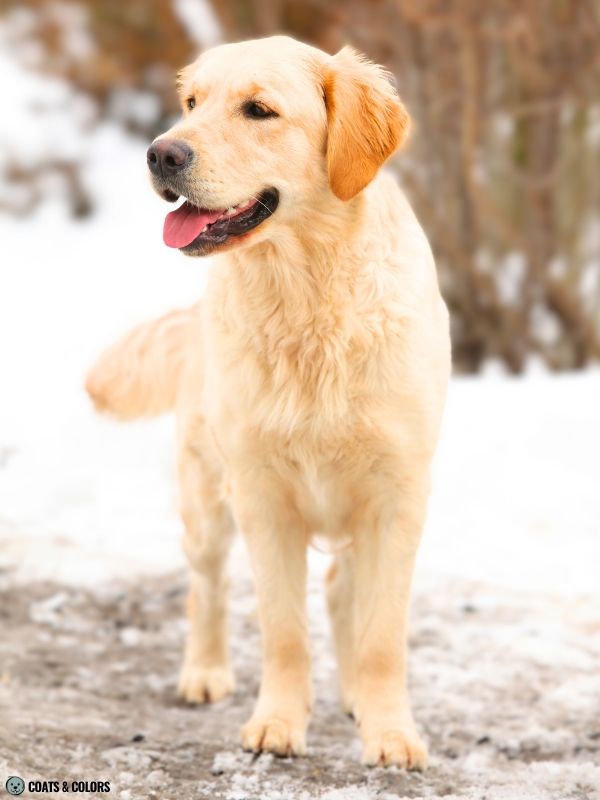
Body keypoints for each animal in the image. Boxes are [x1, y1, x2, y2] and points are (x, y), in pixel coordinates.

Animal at [85, 36, 450, 768]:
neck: (306, 297)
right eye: (191, 102)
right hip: (206, 497)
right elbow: (284, 630)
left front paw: (390, 731)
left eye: (259, 110)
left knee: (341, 592)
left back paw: (355, 697)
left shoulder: (398, 497)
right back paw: (205, 672)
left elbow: (382, 635)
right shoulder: (261, 495)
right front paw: (278, 723)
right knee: (206, 588)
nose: (161, 153)